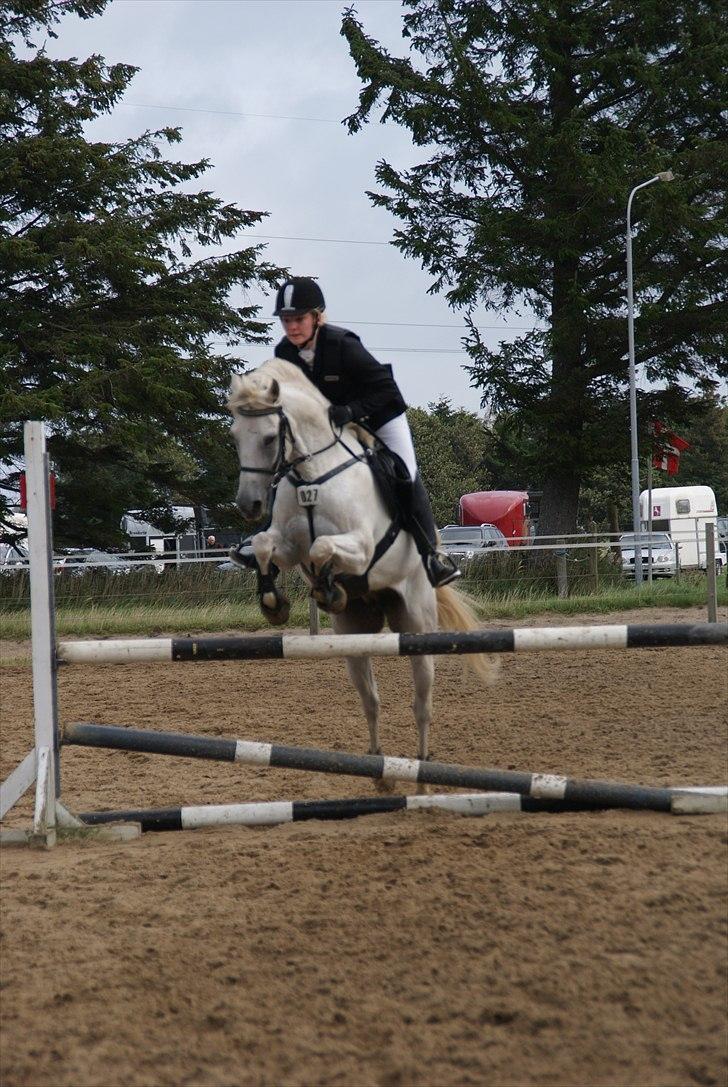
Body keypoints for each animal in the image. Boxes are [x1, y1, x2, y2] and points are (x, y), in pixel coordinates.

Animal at [228, 360, 495, 760]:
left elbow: (323, 548)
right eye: (234, 436)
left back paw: (421, 759)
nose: (249, 505)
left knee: (422, 702)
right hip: (352, 636)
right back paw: (375, 758)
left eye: (269, 438)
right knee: (371, 700)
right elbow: (264, 545)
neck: (313, 475)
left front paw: (327, 589)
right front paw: (274, 601)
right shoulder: (288, 546)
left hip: (416, 626)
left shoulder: (362, 546)